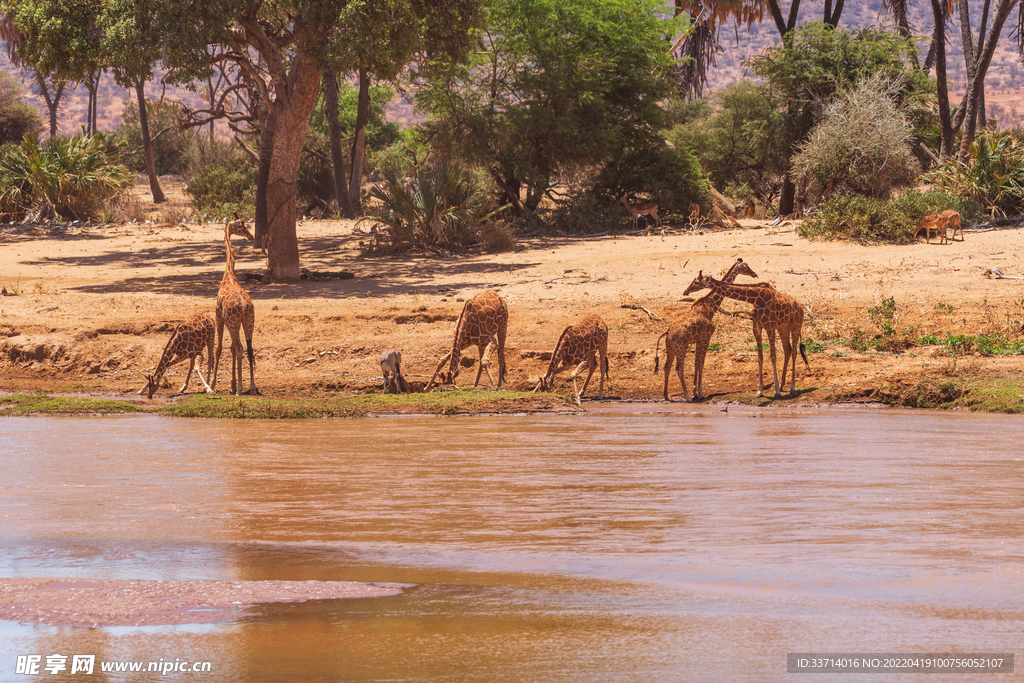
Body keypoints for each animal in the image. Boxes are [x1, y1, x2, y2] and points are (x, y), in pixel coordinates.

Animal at [210, 211, 258, 395]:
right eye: (240, 225)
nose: (251, 236)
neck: (228, 273)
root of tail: (244, 307)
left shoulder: (218, 316)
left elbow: (219, 348)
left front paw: (213, 384)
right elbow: (230, 348)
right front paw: (231, 383)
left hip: (232, 323)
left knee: (239, 348)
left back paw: (240, 388)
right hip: (249, 321)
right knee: (249, 348)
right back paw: (251, 387)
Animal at [655, 260, 761, 401]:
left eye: (696, 282)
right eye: (745, 267)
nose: (754, 274)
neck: (710, 308)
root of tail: (667, 332)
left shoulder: (699, 341)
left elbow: (696, 364)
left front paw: (696, 392)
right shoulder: (706, 339)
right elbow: (701, 364)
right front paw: (699, 393)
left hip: (670, 348)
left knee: (667, 367)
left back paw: (666, 396)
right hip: (681, 347)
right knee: (679, 368)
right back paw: (687, 397)